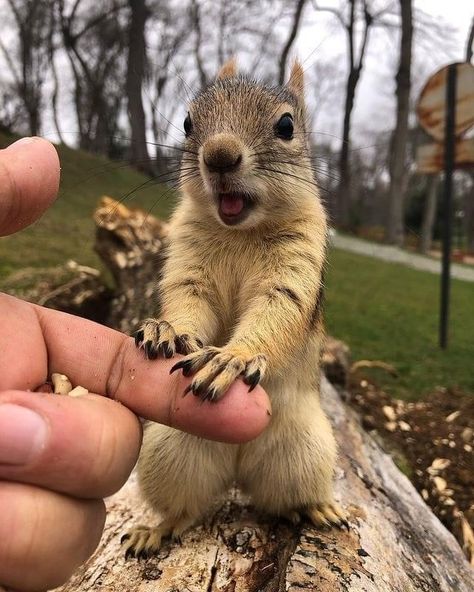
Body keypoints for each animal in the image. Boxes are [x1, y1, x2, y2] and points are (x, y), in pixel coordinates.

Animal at [120, 57, 346, 556]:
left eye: (286, 125)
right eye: (188, 122)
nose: (219, 154)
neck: (240, 231)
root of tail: (238, 468)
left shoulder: (295, 269)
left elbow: (277, 311)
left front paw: (230, 360)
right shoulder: (188, 263)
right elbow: (188, 299)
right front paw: (166, 329)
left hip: (306, 451)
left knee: (286, 499)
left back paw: (319, 509)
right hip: (169, 452)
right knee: (184, 509)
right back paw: (155, 529)